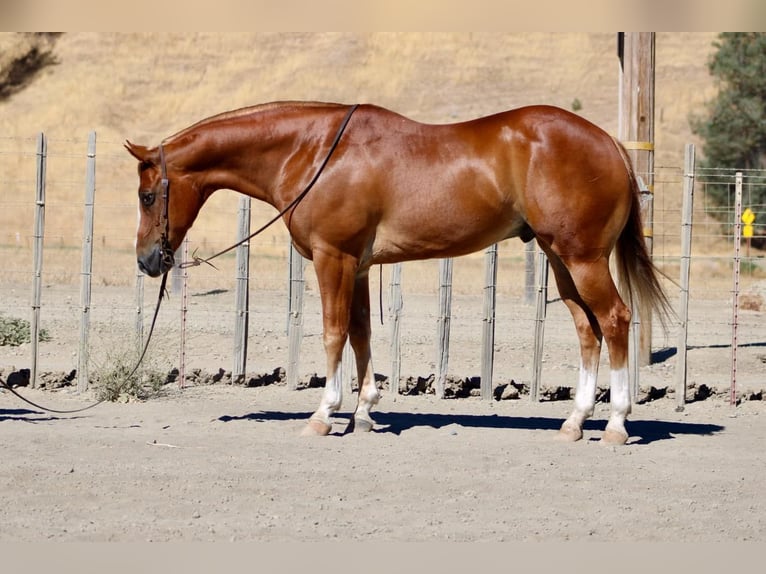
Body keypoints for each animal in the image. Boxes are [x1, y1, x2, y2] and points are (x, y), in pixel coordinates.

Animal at [126, 101, 670, 445]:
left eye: (147, 195)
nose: (147, 260)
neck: (313, 151)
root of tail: (610, 143)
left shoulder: (333, 258)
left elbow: (333, 333)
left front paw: (324, 414)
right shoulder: (359, 266)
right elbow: (361, 334)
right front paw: (365, 412)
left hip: (583, 259)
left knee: (615, 320)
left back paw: (617, 425)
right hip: (561, 260)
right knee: (587, 329)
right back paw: (575, 421)